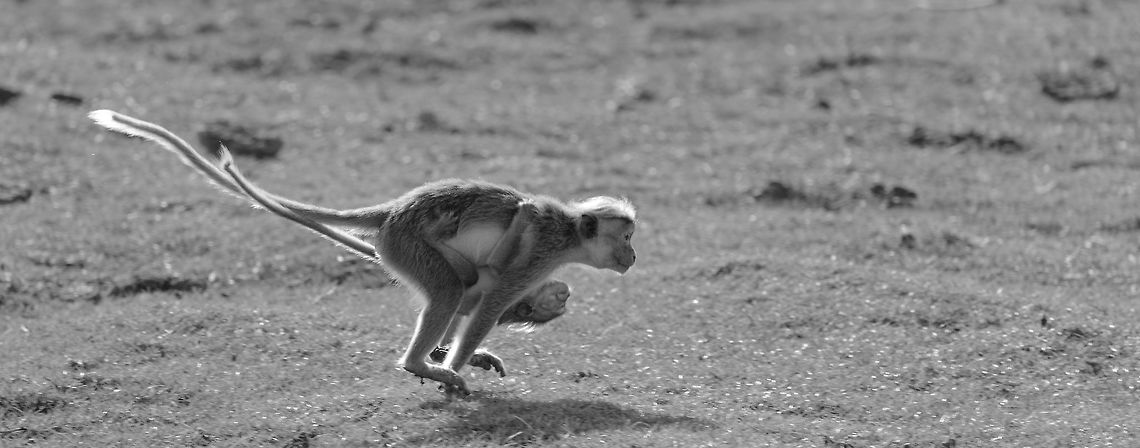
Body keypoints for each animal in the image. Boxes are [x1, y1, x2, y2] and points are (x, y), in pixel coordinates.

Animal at [88, 109, 637, 395]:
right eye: (627, 237)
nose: (633, 258)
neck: (570, 230)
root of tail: (393, 212)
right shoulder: (540, 252)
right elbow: (490, 299)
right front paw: (455, 366)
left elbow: (477, 300)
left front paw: (459, 356)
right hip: (407, 243)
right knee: (449, 289)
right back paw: (419, 364)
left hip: (400, 248)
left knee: (457, 288)